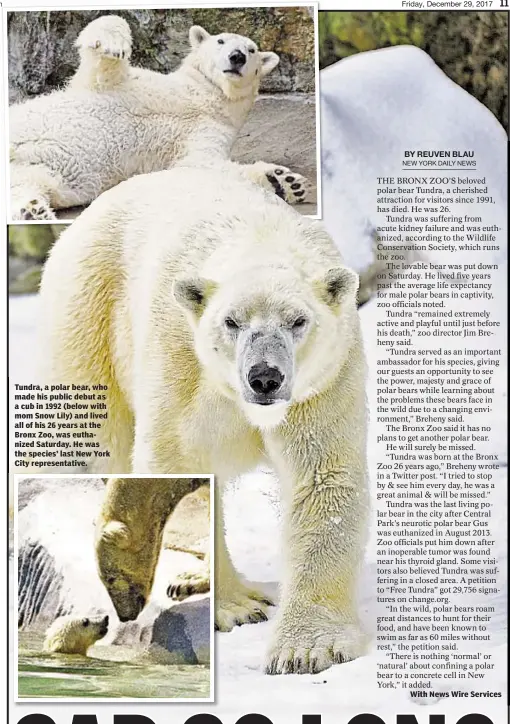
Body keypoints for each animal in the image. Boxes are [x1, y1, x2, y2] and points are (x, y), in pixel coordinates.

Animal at [8, 13, 310, 218]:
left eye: (252, 49)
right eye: (221, 40)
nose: (237, 56)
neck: (201, 98)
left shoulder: (209, 129)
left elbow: (198, 164)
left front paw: (284, 182)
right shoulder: (132, 86)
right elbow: (102, 70)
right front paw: (115, 44)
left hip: (40, 172)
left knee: (28, 184)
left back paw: (33, 211)